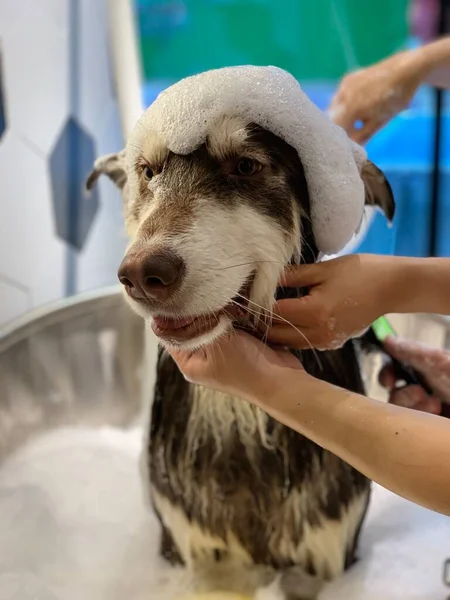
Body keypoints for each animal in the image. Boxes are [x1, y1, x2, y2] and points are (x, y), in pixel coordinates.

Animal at [87, 79, 394, 600]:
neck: (239, 417)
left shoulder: (330, 554)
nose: (142, 275)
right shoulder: (190, 548)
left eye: (246, 166)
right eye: (148, 171)